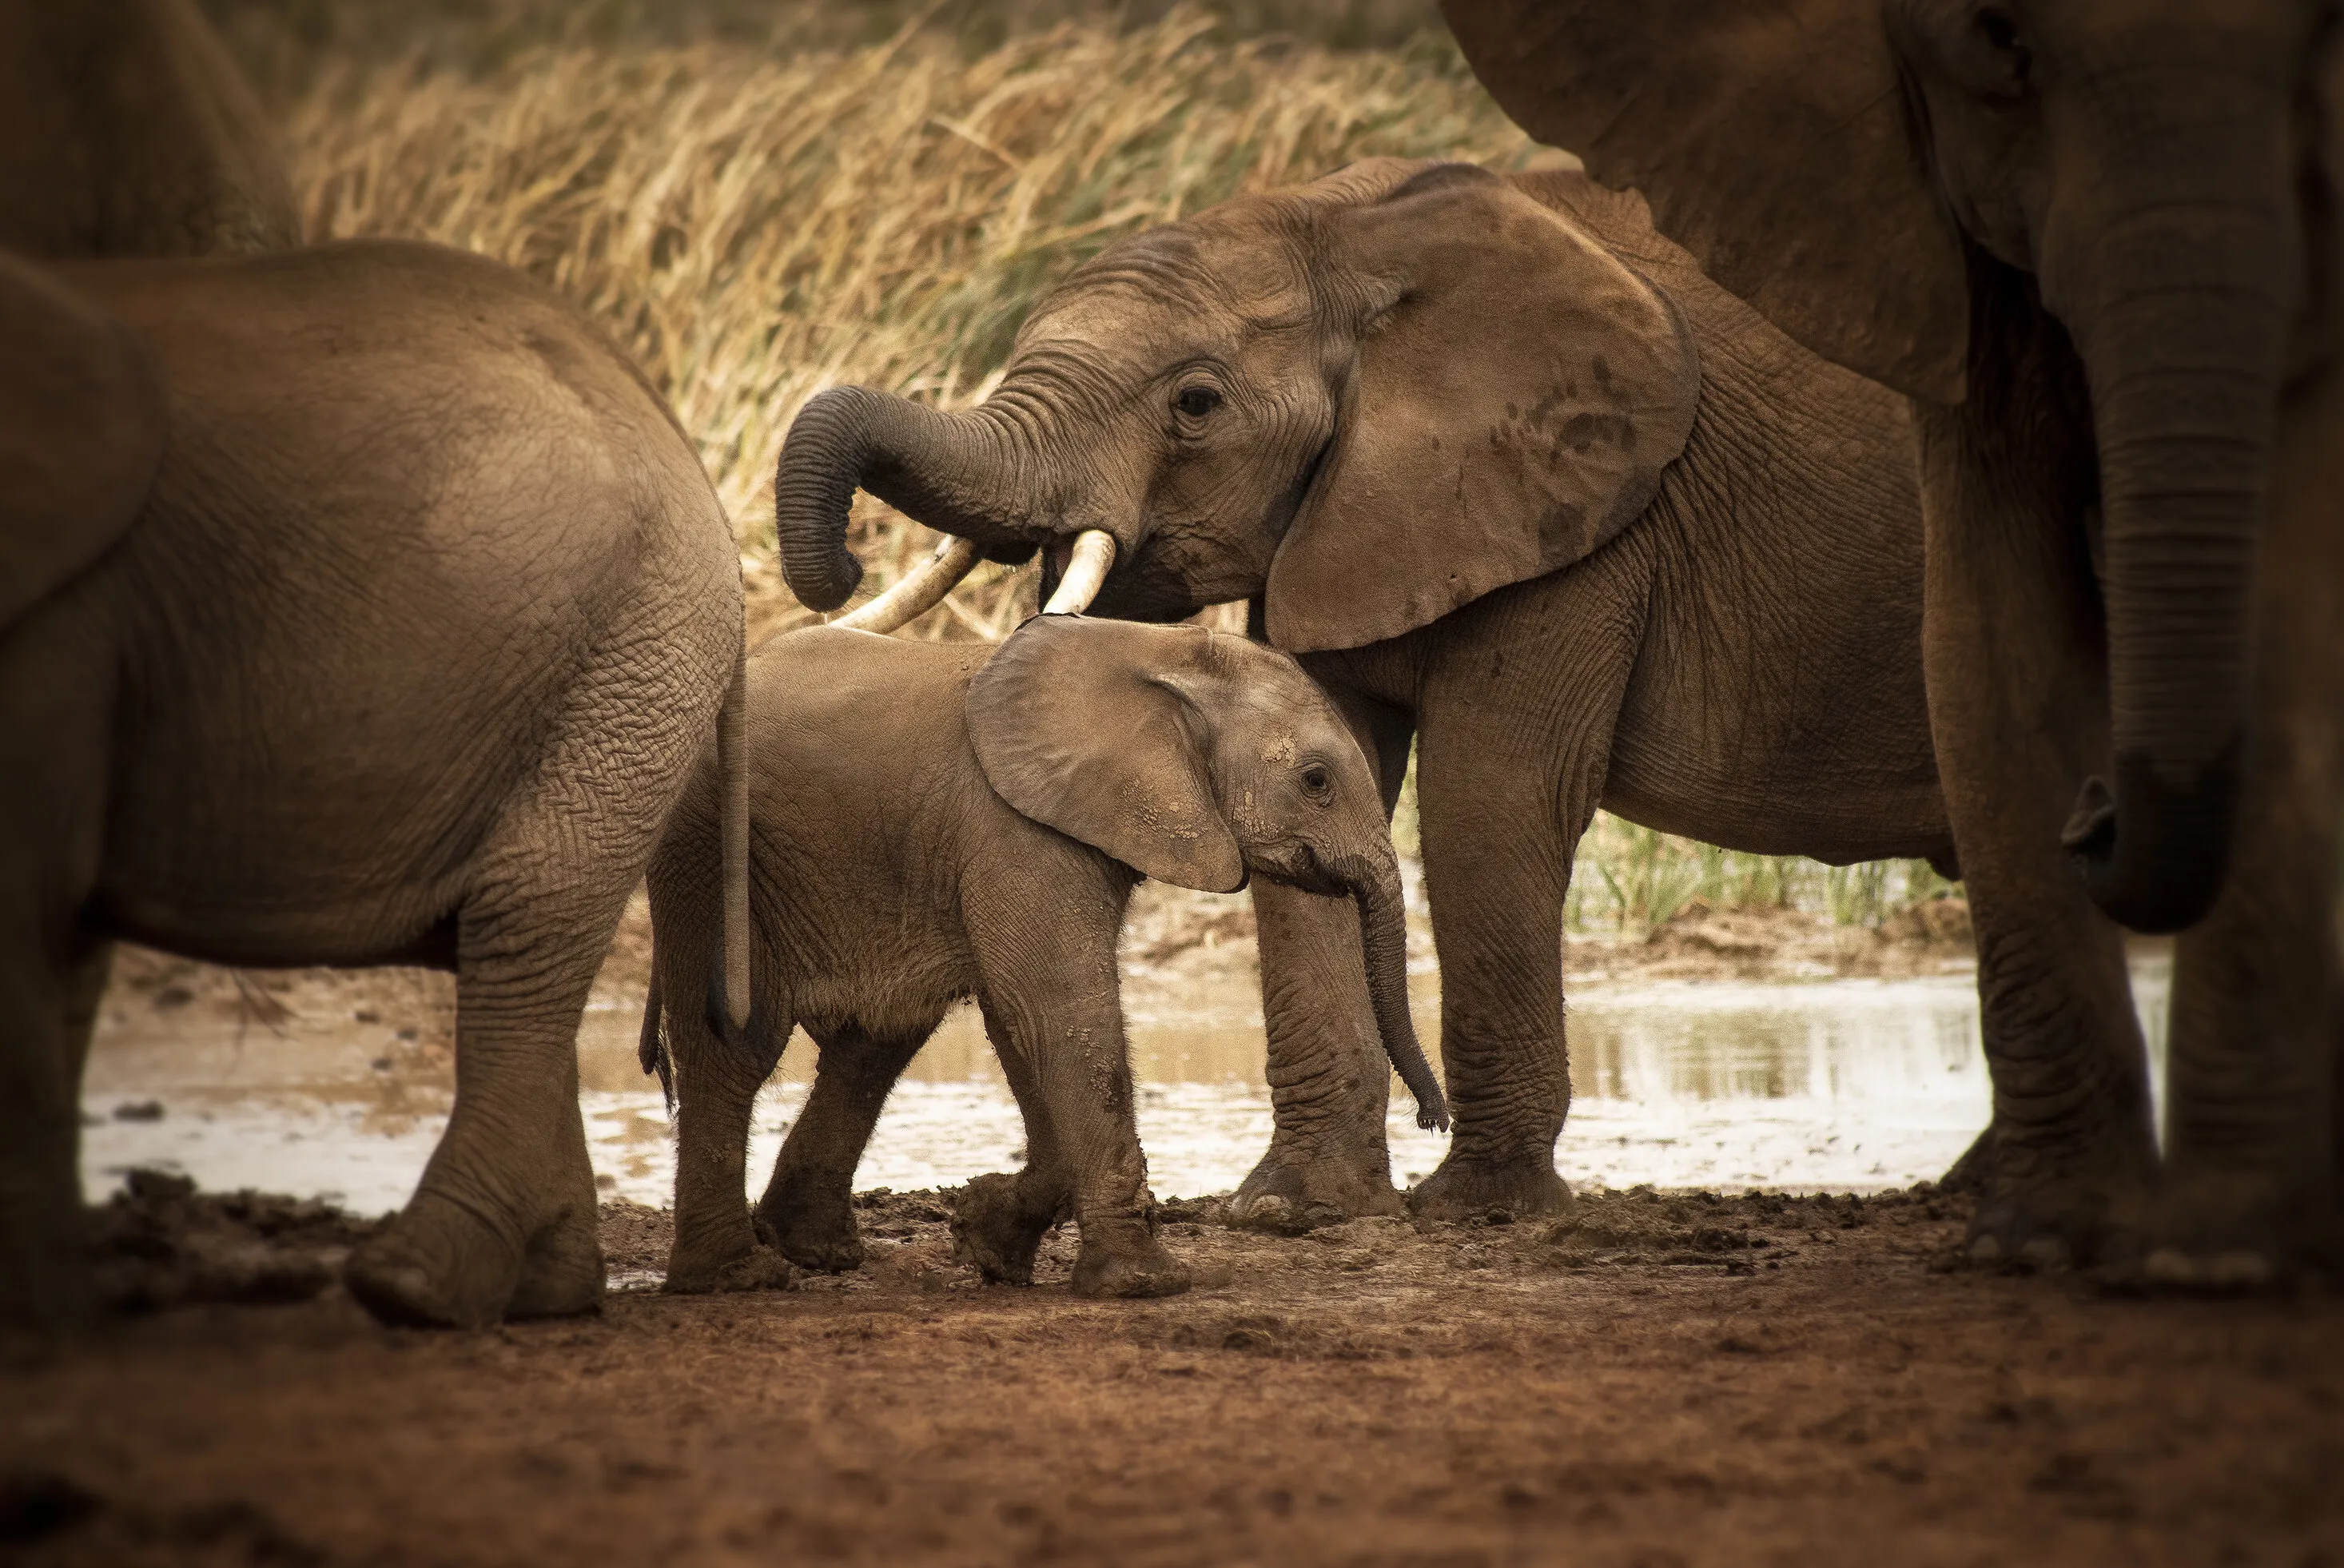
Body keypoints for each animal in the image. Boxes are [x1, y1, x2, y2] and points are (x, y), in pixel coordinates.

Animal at [636, 612, 1447, 1299]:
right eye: (1316, 782)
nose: (1432, 1120)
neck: (1159, 649)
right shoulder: (1013, 826)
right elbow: (1055, 1005)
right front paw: (1142, 1286)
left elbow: (1023, 1017)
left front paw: (985, 1241)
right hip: (705, 847)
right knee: (735, 1047)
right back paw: (736, 1276)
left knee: (876, 1040)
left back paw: (810, 1251)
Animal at [766, 157, 1969, 1229]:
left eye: (1195, 403)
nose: (846, 568)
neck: (1351, 228)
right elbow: (1323, 801)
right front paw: (1292, 1211)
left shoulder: (1579, 517)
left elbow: (1492, 799)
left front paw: (1479, 1211)